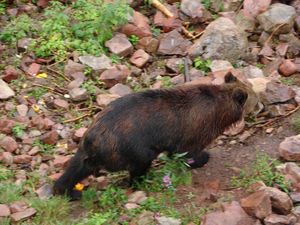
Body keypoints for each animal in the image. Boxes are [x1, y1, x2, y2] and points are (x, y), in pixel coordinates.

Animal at [53, 71, 251, 198]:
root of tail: (93, 140)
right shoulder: (195, 129)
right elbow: (188, 152)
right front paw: (201, 158)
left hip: (92, 149)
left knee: (76, 168)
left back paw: (67, 190)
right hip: (129, 147)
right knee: (139, 164)